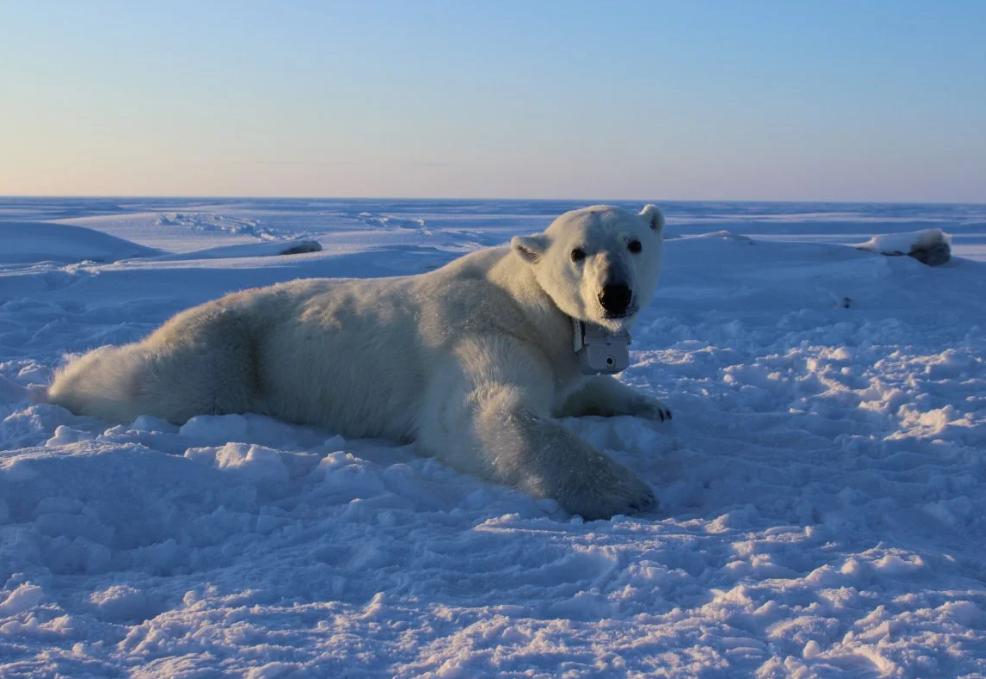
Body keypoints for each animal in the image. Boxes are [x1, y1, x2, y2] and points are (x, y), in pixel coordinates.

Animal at [50, 205, 672, 516]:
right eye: (577, 252)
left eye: (634, 243)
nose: (614, 295)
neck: (526, 303)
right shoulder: (482, 333)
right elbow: (483, 414)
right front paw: (628, 490)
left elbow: (579, 388)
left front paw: (653, 406)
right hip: (229, 353)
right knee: (154, 382)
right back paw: (63, 380)